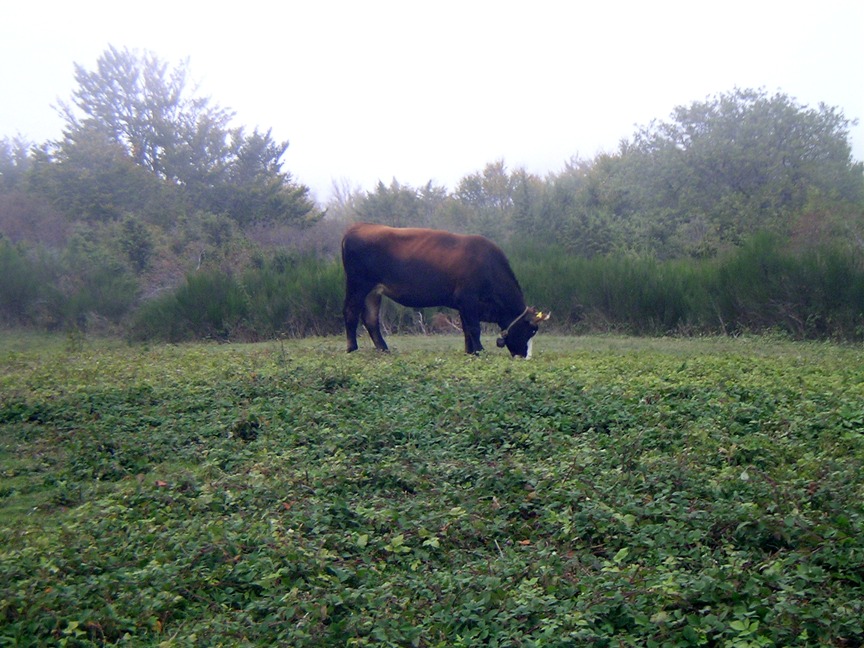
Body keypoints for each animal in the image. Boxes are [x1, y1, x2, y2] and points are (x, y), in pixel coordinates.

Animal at [340, 223, 552, 354]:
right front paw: (480, 351)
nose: (525, 356)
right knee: (351, 312)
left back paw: (384, 349)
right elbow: (474, 328)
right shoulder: (468, 298)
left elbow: (466, 329)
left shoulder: (463, 305)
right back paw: (352, 348)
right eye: (531, 330)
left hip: (373, 291)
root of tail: (359, 226)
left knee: (370, 318)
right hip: (358, 284)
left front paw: (470, 352)